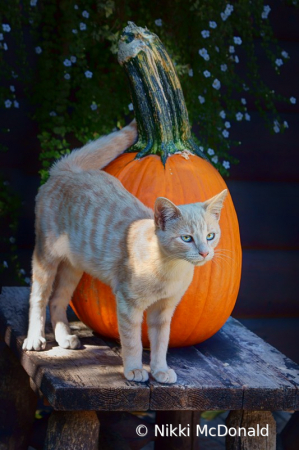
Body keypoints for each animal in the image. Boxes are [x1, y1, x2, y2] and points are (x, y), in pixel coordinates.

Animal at [22, 121, 227, 384]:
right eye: (187, 238)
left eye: (210, 236)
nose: (204, 253)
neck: (169, 269)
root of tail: (68, 168)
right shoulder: (129, 305)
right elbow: (133, 342)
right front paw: (134, 369)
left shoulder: (164, 311)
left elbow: (161, 344)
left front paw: (160, 370)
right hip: (45, 257)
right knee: (39, 297)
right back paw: (35, 338)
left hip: (73, 268)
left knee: (57, 299)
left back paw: (64, 338)